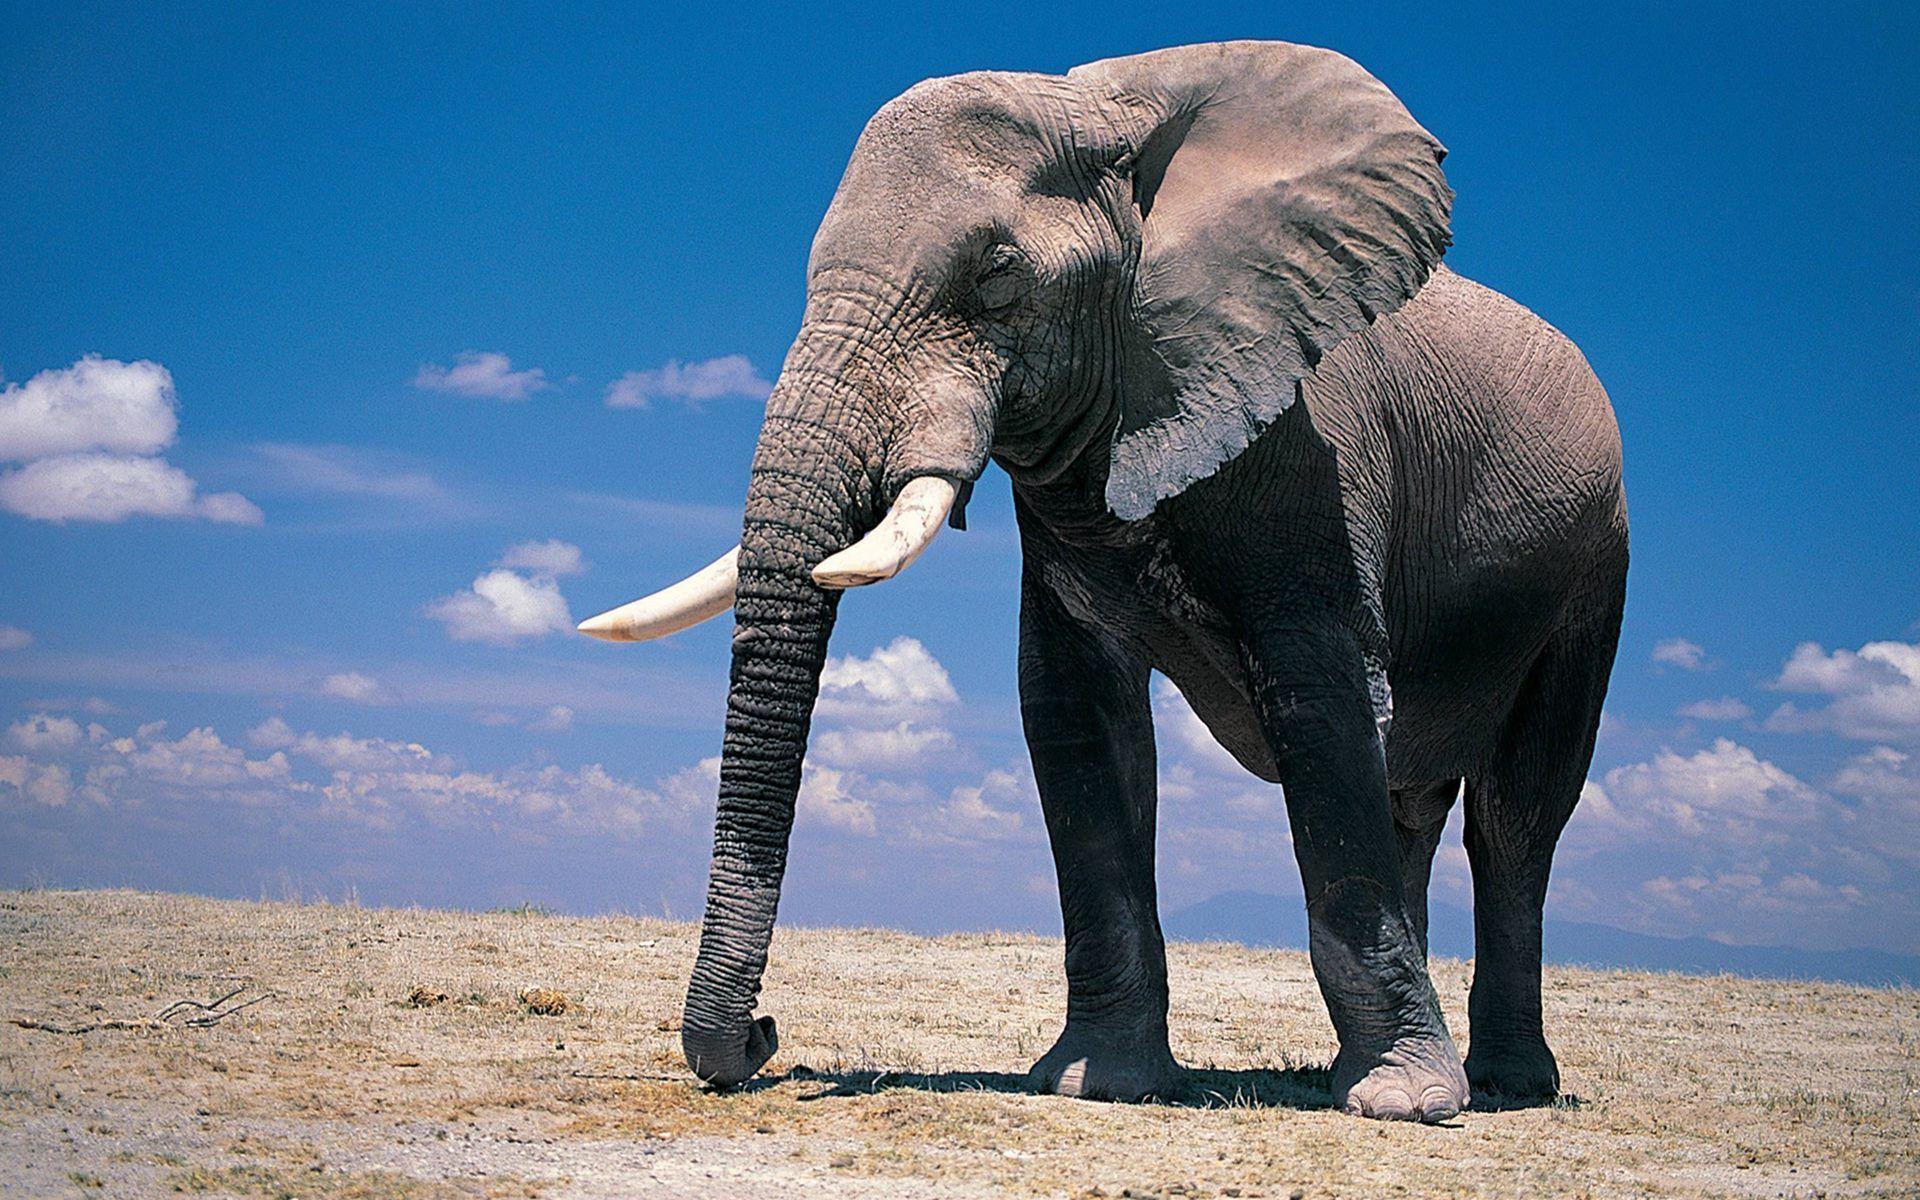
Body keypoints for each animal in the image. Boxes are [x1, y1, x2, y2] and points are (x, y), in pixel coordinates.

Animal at [581, 40, 1627, 1123]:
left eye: (998, 275)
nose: (762, 1034)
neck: (1111, 109)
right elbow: (1078, 719)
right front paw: (1103, 1085)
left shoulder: (1321, 459)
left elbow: (1324, 708)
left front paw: (1404, 1109)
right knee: (1412, 802)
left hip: (1594, 567)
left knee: (1516, 815)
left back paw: (1499, 1085)